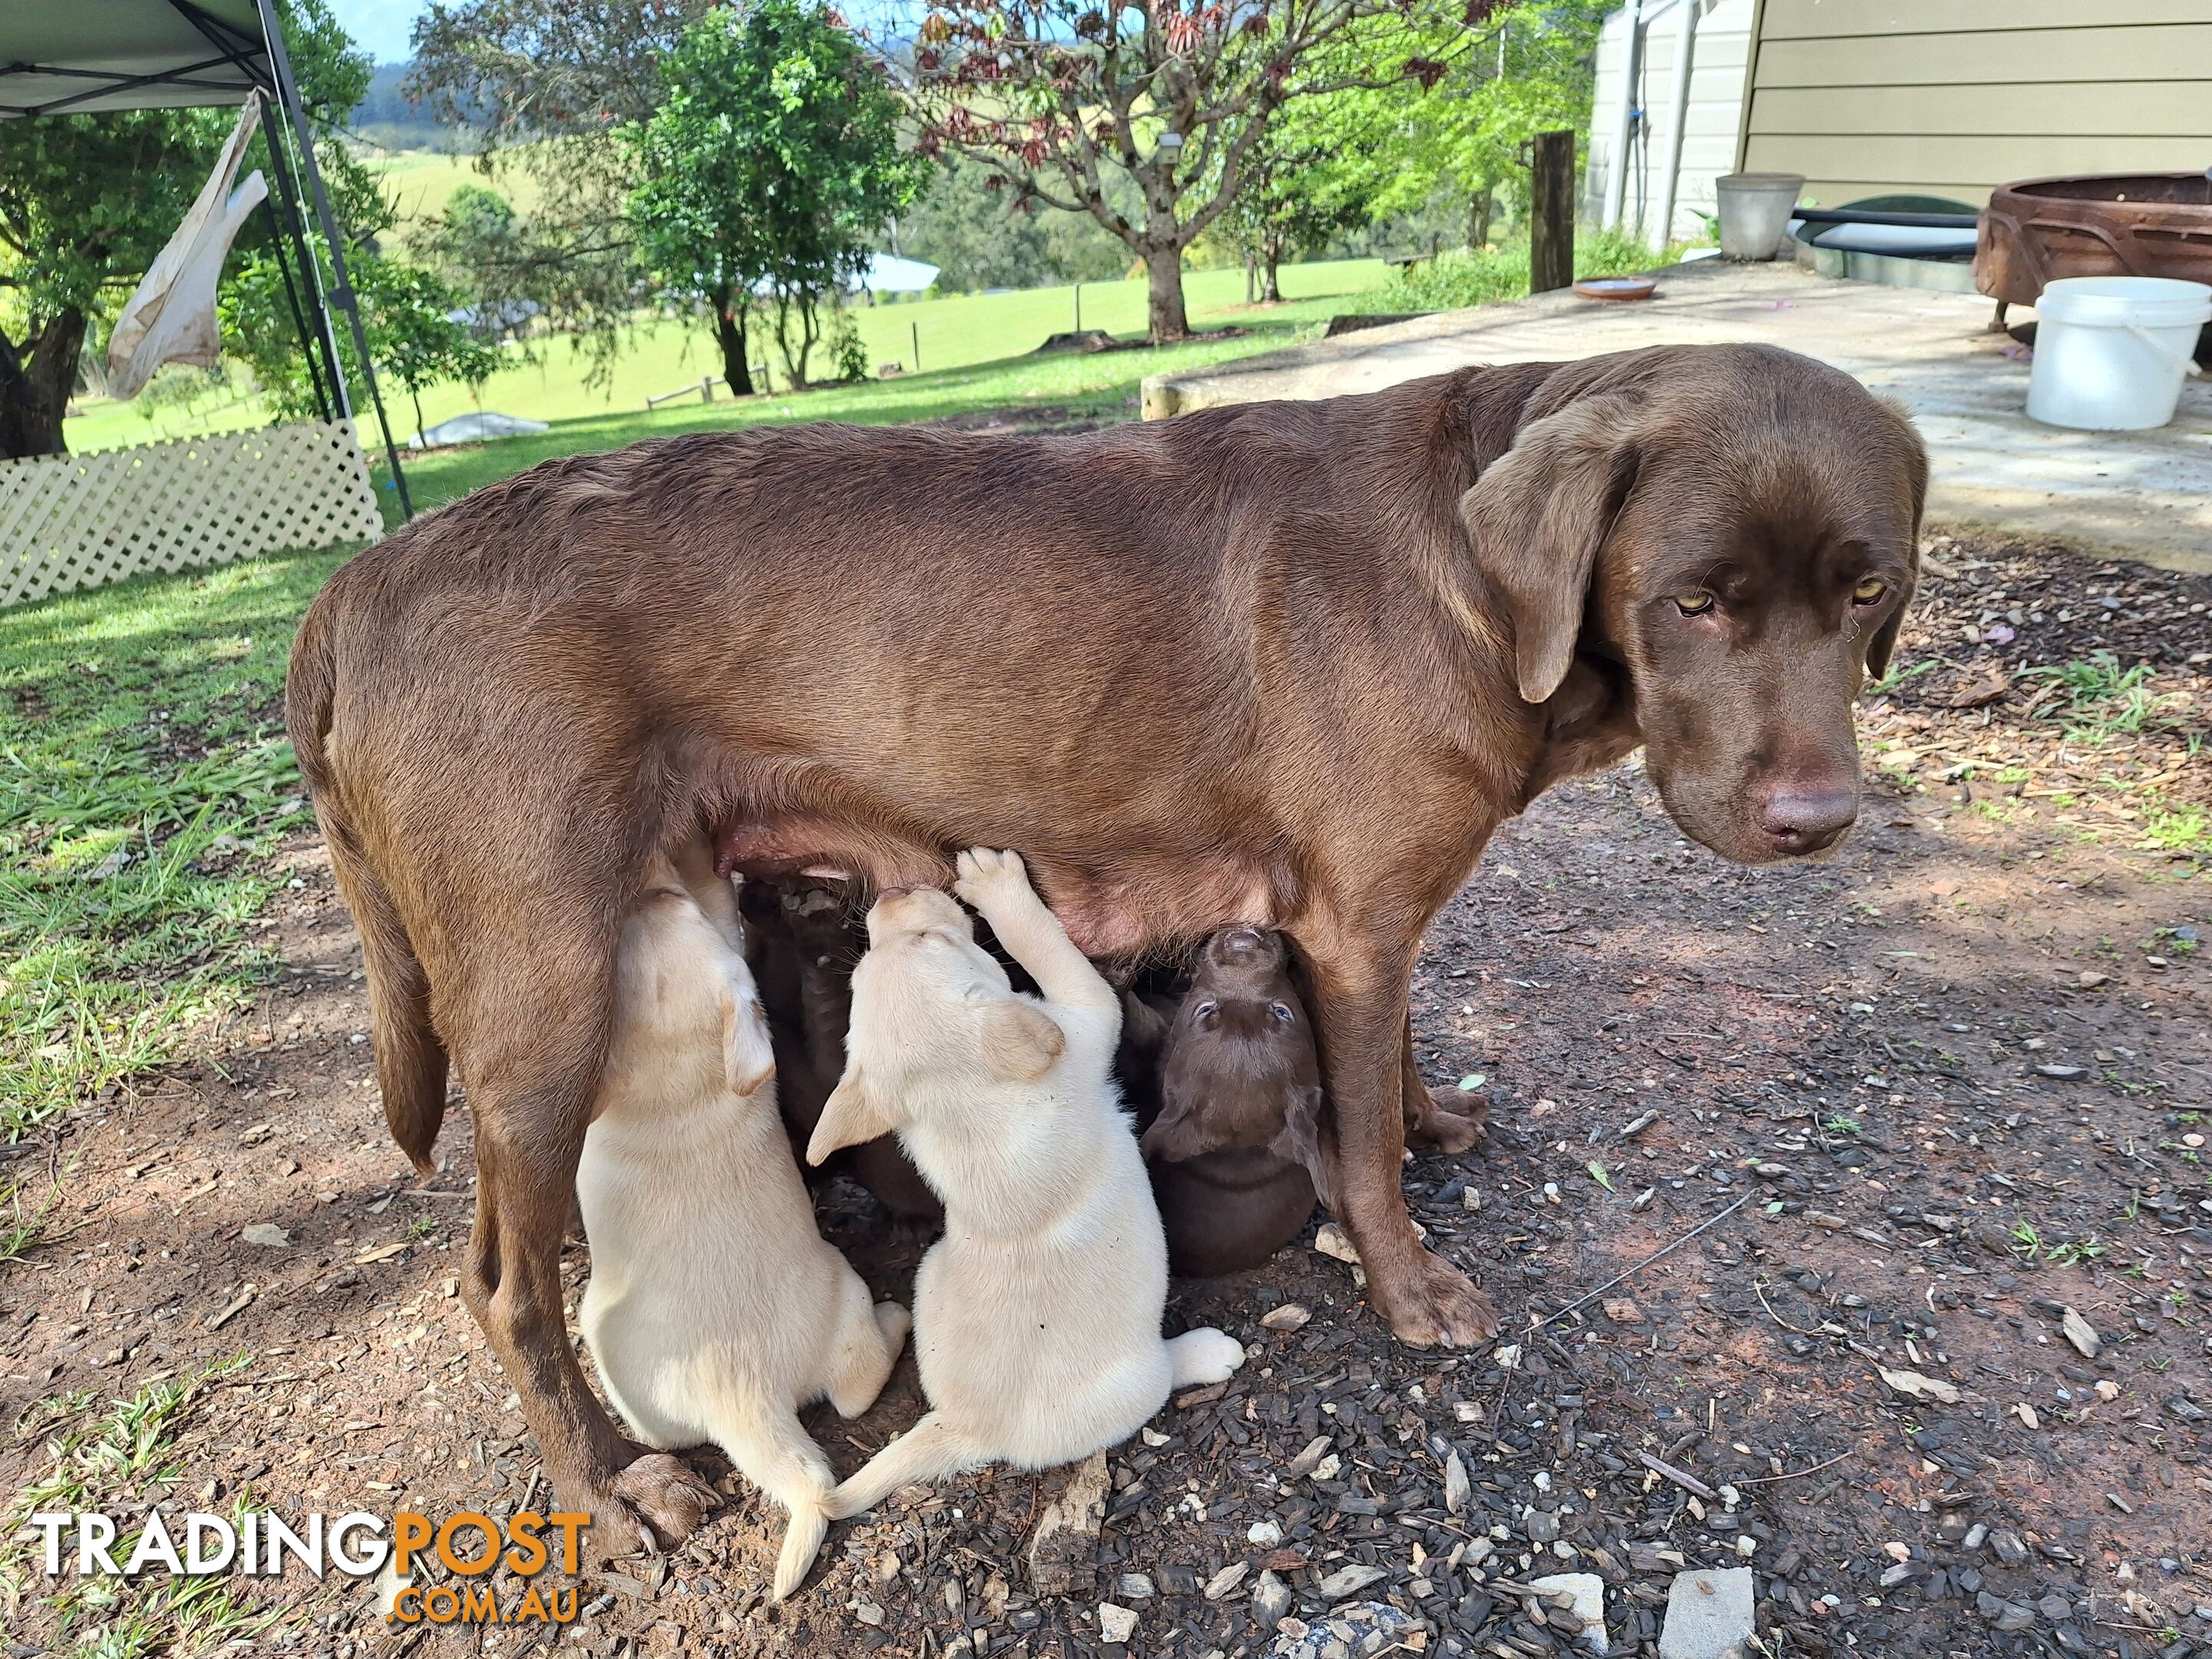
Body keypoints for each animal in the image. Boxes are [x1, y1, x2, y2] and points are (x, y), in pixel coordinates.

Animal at [810, 845, 1247, 1522]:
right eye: (934, 937)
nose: (888, 895)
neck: (967, 1113)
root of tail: (965, 1429)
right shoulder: (1086, 1013)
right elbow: (1046, 944)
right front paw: (998, 886)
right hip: (1140, 1379)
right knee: (1164, 1376)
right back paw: (1206, 1352)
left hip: (928, 1272)